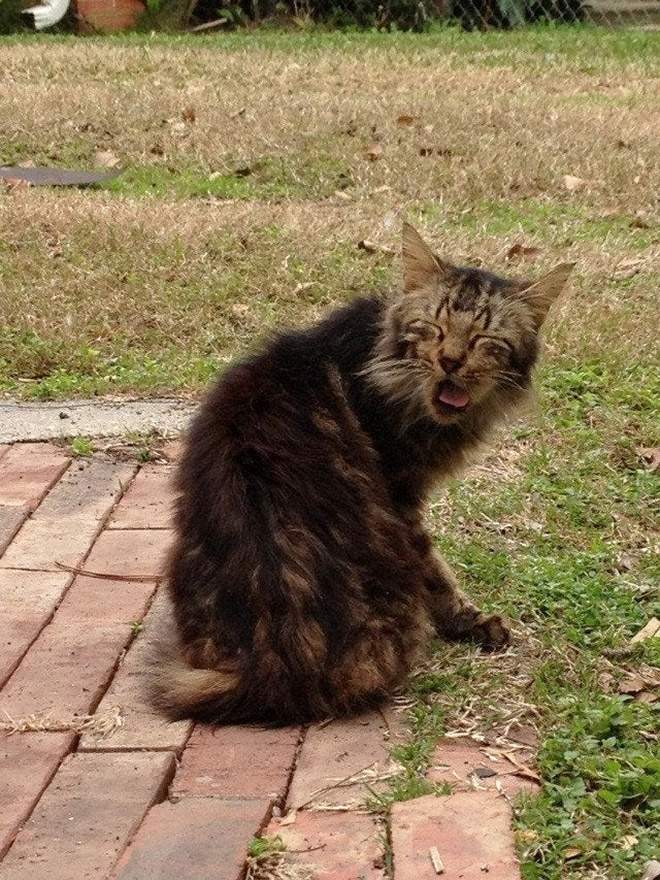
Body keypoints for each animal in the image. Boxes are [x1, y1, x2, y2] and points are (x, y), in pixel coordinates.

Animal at [153, 223, 572, 724]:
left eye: (482, 339)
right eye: (434, 328)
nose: (450, 361)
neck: (380, 355)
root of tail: (277, 662)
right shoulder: (402, 498)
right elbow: (437, 571)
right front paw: (468, 620)